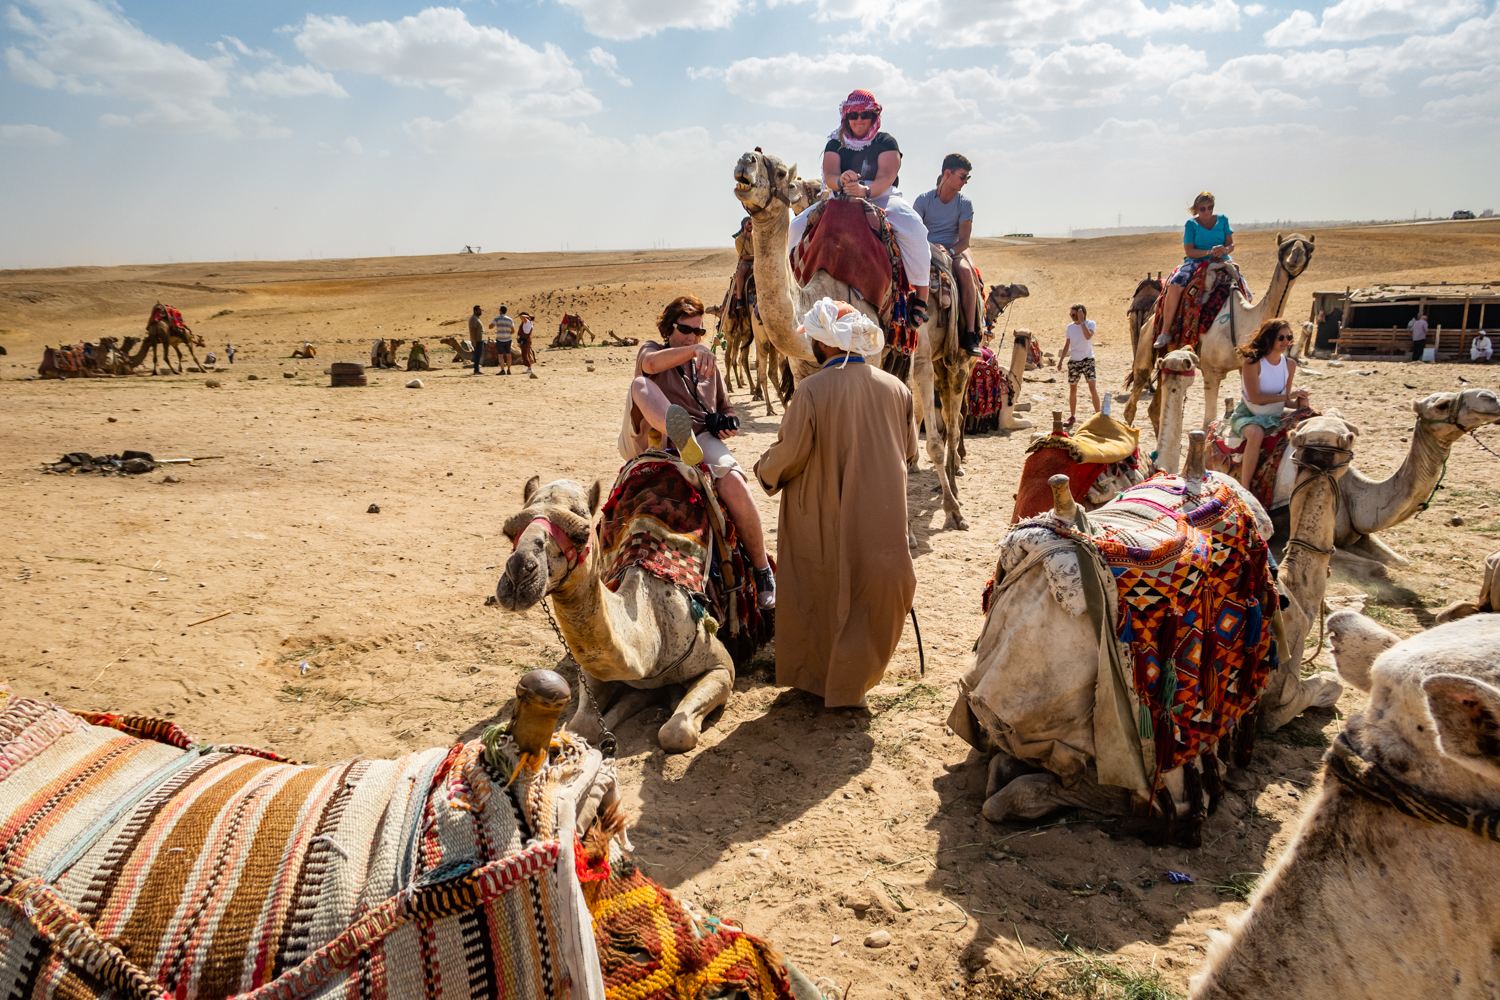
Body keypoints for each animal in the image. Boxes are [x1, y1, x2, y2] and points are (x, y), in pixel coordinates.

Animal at [493, 476, 735, 753]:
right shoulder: (592, 669)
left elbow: (676, 732)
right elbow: (581, 726)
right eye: (509, 531)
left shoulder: (722, 666)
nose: (519, 574)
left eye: (582, 534)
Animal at [1123, 233, 1315, 430]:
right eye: (1284, 246)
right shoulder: (1211, 372)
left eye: (1309, 247)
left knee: (1154, 408)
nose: (1297, 254)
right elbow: (1208, 422)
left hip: (1168, 360)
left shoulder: (1245, 368)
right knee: (1135, 394)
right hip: (1147, 341)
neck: (1243, 323)